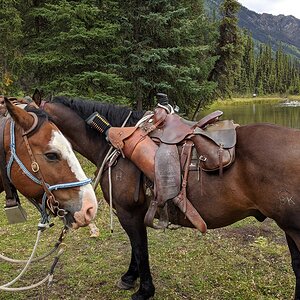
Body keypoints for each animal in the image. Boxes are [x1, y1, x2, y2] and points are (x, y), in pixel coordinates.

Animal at [31, 93, 300, 300]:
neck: (109, 141)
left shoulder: (129, 213)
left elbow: (141, 248)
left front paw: (144, 290)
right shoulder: (133, 213)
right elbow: (135, 248)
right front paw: (129, 277)